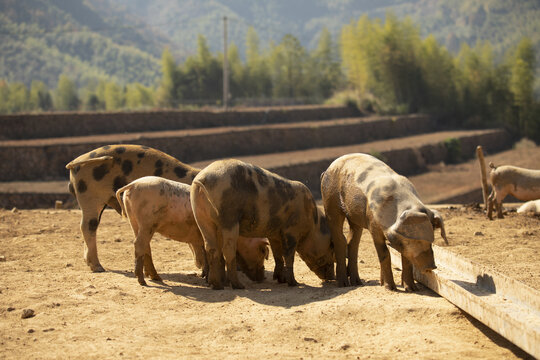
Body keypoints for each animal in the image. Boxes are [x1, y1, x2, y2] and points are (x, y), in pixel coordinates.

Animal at [117, 176, 270, 286]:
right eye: (262, 252)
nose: (262, 278)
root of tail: (133, 184)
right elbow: (218, 257)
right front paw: (221, 281)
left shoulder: (200, 238)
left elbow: (206, 255)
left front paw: (205, 276)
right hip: (147, 222)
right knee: (139, 244)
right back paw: (142, 281)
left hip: (134, 221)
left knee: (145, 246)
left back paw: (156, 277)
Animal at [320, 153, 448, 292]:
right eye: (417, 240)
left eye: (431, 240)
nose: (432, 266)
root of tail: (328, 169)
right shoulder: (373, 226)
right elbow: (385, 254)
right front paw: (390, 288)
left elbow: (406, 258)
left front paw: (412, 289)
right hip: (330, 202)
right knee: (339, 239)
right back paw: (343, 284)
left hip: (355, 217)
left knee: (353, 242)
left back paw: (357, 282)